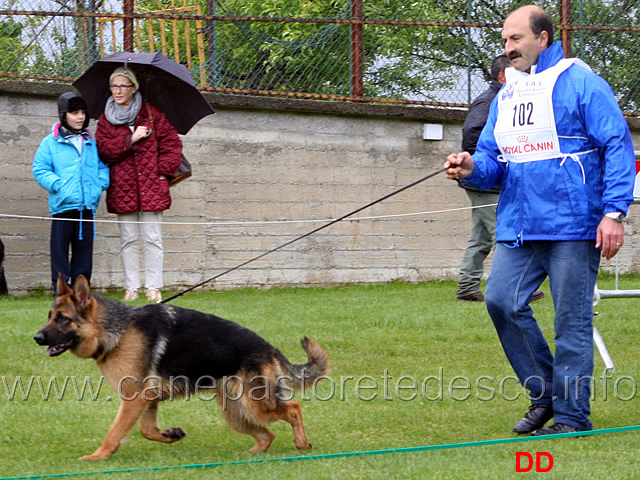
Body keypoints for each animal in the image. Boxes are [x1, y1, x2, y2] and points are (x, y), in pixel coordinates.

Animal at [33, 276, 330, 460]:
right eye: (49, 316)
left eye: (62, 319)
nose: (36, 337)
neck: (118, 331)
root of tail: (270, 348)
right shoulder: (146, 399)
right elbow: (147, 430)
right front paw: (170, 434)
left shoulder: (134, 398)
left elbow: (116, 431)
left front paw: (99, 455)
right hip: (235, 412)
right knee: (267, 434)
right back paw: (251, 454)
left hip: (255, 404)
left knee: (293, 408)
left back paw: (301, 443)